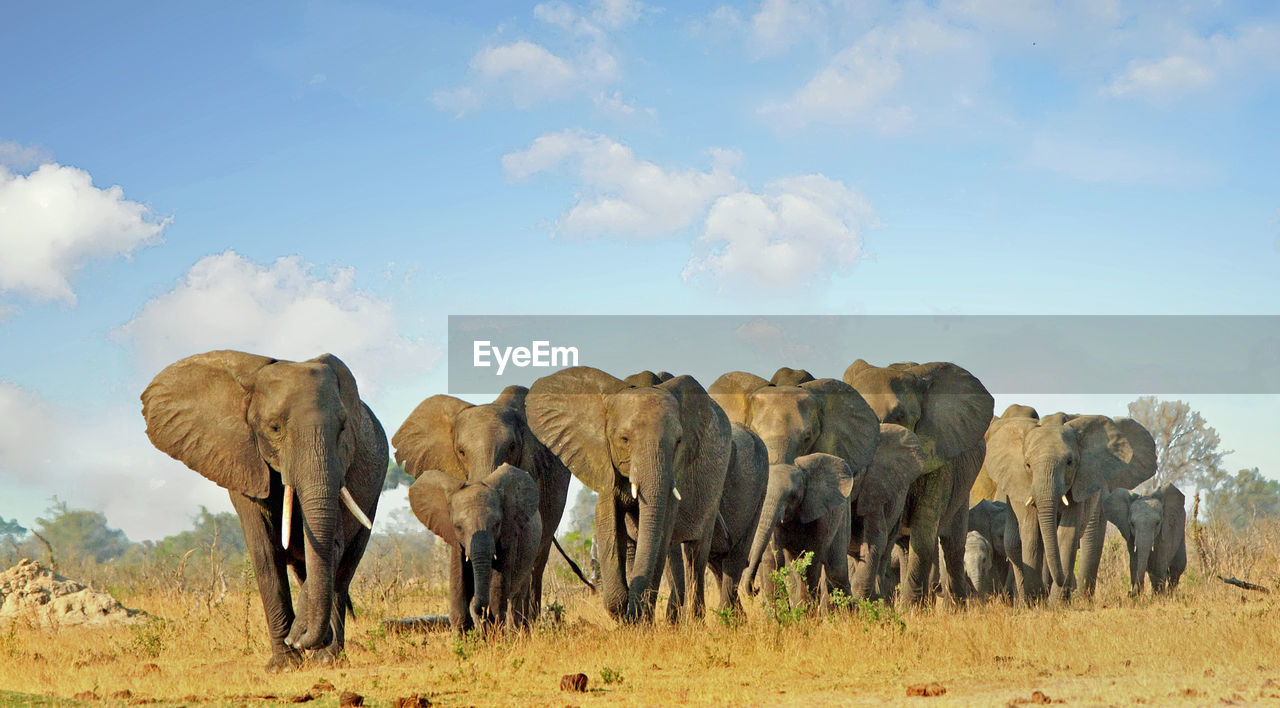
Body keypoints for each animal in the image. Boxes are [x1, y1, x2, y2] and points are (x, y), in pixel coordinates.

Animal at [139, 350, 381, 670]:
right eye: (274, 428)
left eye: (343, 428)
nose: (298, 638)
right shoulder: (242, 461)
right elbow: (264, 551)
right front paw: (285, 665)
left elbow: (332, 544)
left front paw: (299, 641)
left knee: (343, 573)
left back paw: (327, 659)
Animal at [409, 463, 540, 629]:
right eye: (458, 527)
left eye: (497, 524)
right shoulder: (455, 541)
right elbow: (458, 584)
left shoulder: (508, 537)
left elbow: (497, 591)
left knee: (518, 598)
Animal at [524, 366, 732, 622]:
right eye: (624, 439)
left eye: (678, 441)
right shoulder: (603, 460)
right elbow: (607, 519)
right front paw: (626, 614)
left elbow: (661, 529)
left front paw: (638, 617)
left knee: (695, 552)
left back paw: (692, 621)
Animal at [844, 361, 993, 604]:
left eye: (900, 416)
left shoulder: (939, 456)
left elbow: (923, 532)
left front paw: (909, 609)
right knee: (907, 546)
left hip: (963, 488)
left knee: (951, 547)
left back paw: (956, 605)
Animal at [977, 409, 1162, 601]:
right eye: (1027, 465)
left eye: (1069, 462)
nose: (1063, 582)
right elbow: (1031, 533)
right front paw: (1036, 600)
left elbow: (1067, 534)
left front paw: (1054, 602)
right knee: (1015, 541)